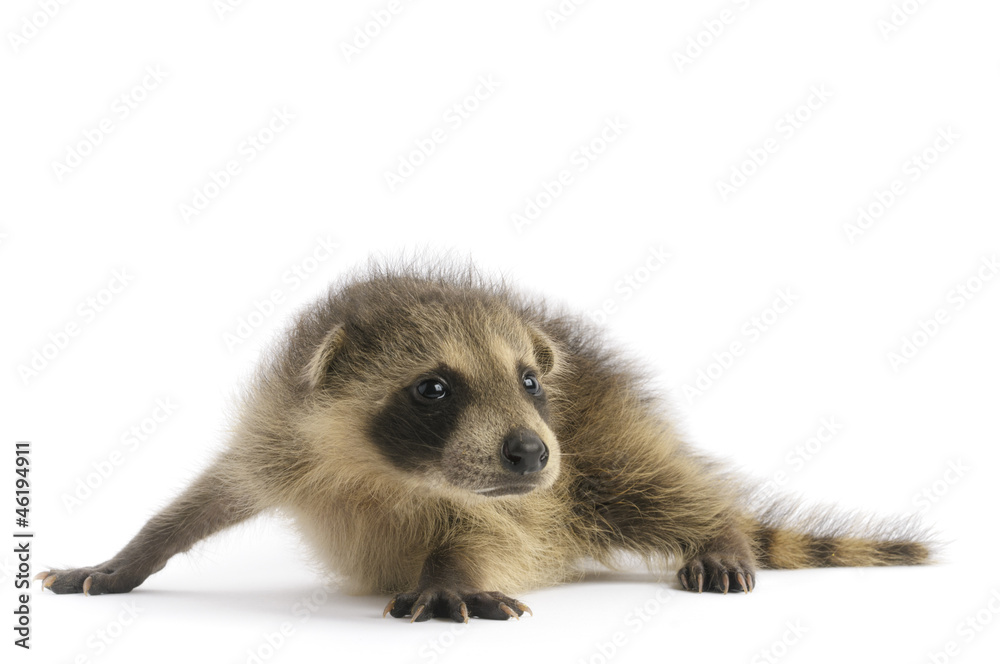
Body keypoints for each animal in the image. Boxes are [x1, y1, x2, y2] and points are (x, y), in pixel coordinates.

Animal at [37, 262, 934, 622]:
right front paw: (129, 555)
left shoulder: (531, 491)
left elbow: (490, 531)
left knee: (652, 485)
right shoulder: (281, 431)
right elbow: (206, 498)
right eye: (434, 388)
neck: (379, 469)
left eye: (529, 381)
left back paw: (715, 528)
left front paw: (448, 576)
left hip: (606, 434)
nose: (533, 452)